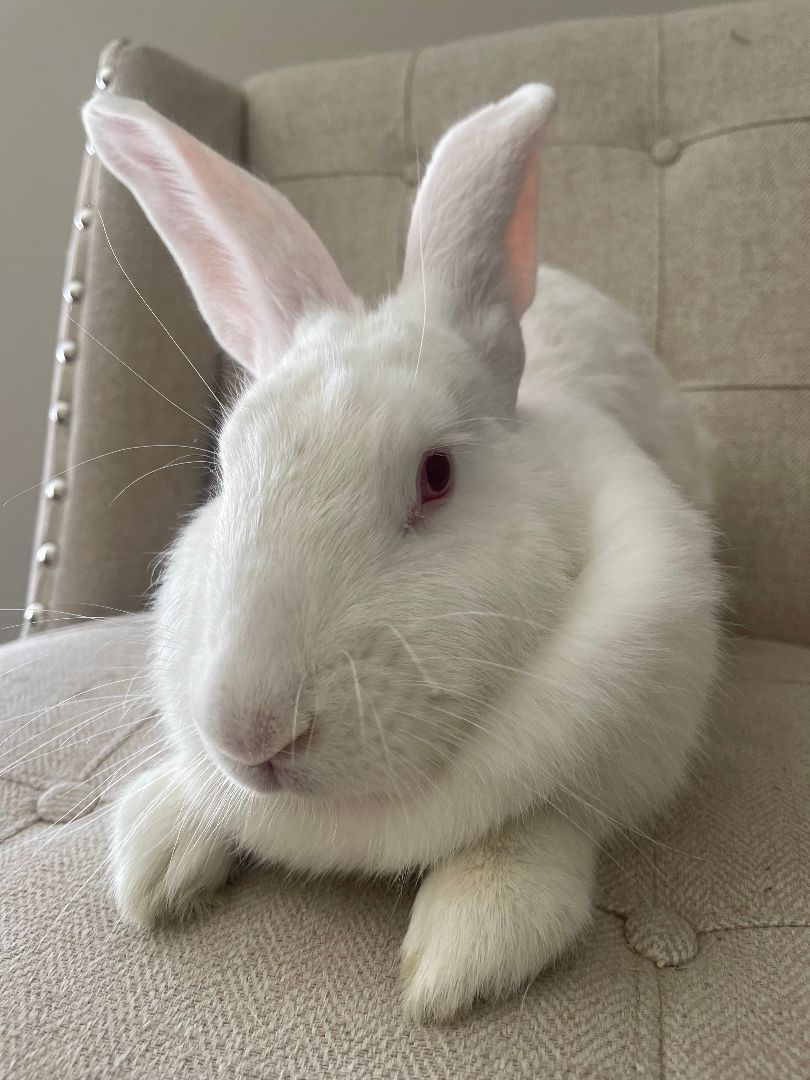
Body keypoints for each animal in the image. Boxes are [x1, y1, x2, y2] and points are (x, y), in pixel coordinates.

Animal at [82, 82, 721, 1024]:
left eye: (436, 474)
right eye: (226, 473)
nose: (250, 732)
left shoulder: (644, 716)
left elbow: (544, 818)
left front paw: (464, 949)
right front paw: (159, 852)